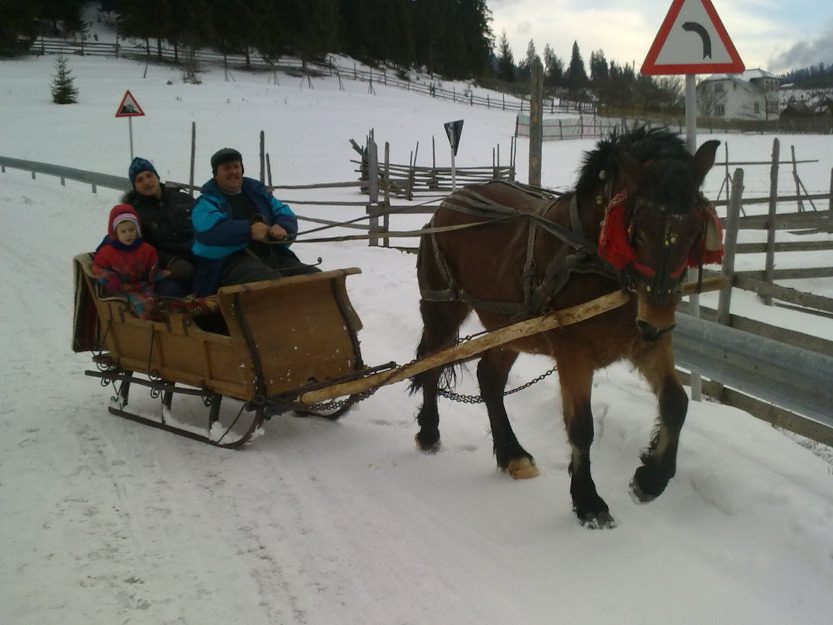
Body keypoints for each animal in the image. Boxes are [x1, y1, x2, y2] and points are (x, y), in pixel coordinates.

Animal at [410, 127, 720, 528]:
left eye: (696, 230)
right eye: (638, 231)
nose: (656, 321)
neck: (594, 256)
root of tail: (449, 201)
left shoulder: (648, 345)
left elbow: (675, 403)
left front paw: (651, 477)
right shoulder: (575, 354)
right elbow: (581, 427)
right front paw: (588, 500)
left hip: (513, 329)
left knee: (489, 378)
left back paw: (512, 454)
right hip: (443, 310)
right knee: (431, 367)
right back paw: (429, 432)